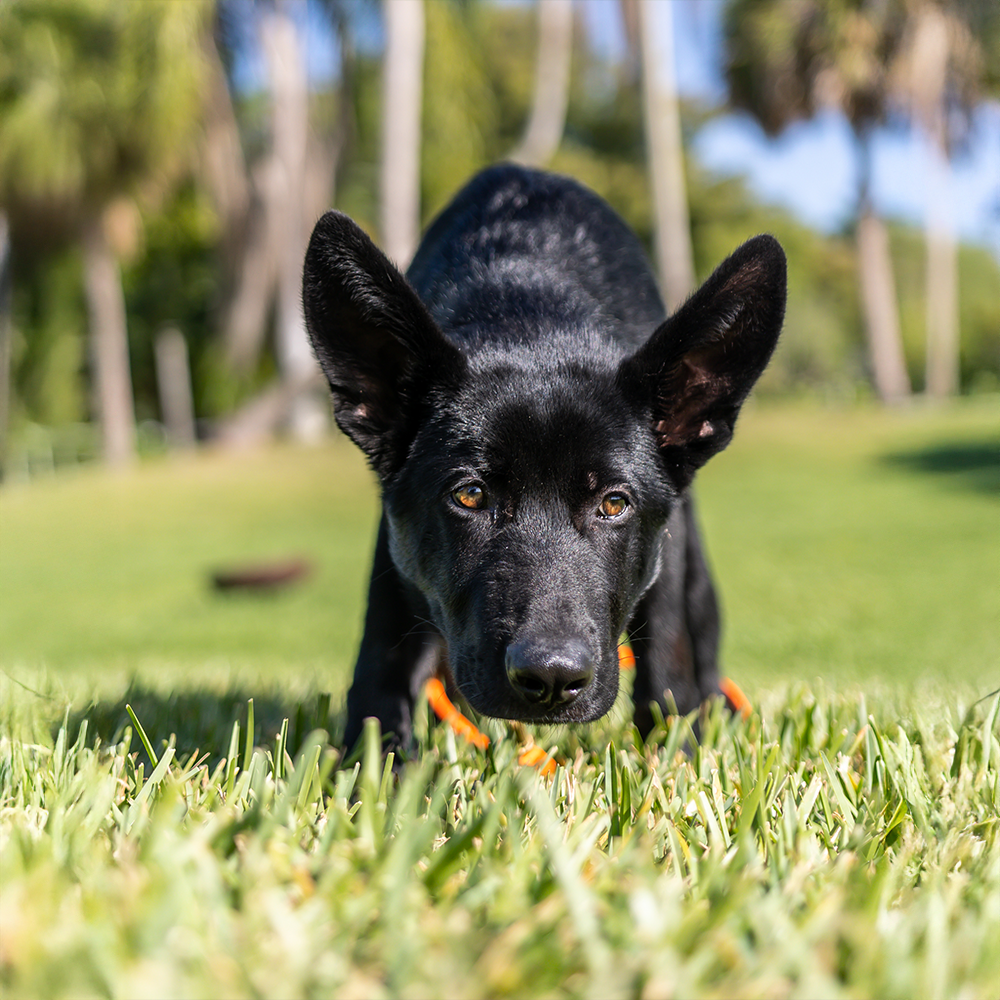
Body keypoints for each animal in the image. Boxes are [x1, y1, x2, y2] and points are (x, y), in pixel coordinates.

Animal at [302, 165, 786, 751]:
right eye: (470, 495)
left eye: (614, 504)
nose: (551, 679)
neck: (532, 321)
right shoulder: (394, 555)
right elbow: (380, 673)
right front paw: (378, 762)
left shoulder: (665, 561)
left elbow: (668, 669)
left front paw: (676, 754)